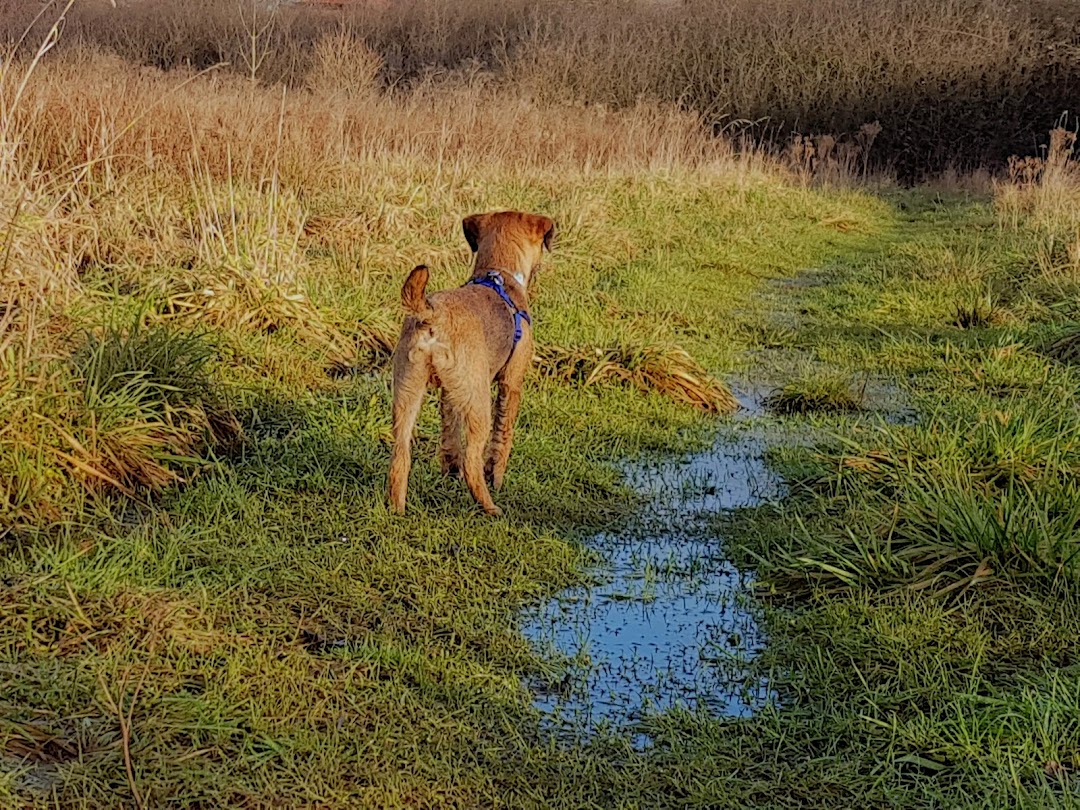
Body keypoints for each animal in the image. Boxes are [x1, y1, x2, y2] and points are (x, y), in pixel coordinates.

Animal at [388, 209, 557, 514]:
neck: (499, 274)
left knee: (401, 454)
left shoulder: (449, 392)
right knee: (473, 458)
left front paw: (448, 474)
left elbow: (449, 435)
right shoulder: (511, 383)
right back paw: (491, 507)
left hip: (407, 391)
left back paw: (397, 508)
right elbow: (503, 437)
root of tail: (432, 316)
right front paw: (497, 479)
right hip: (478, 402)